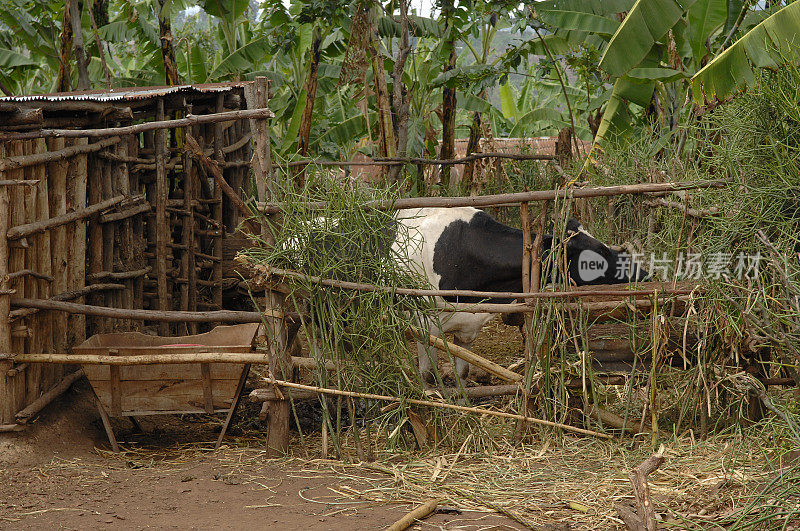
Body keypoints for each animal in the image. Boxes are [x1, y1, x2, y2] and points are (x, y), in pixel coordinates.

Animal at [396, 206, 648, 380]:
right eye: (598, 253)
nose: (643, 273)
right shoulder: (424, 324)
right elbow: (428, 375)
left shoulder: (468, 326)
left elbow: (463, 373)